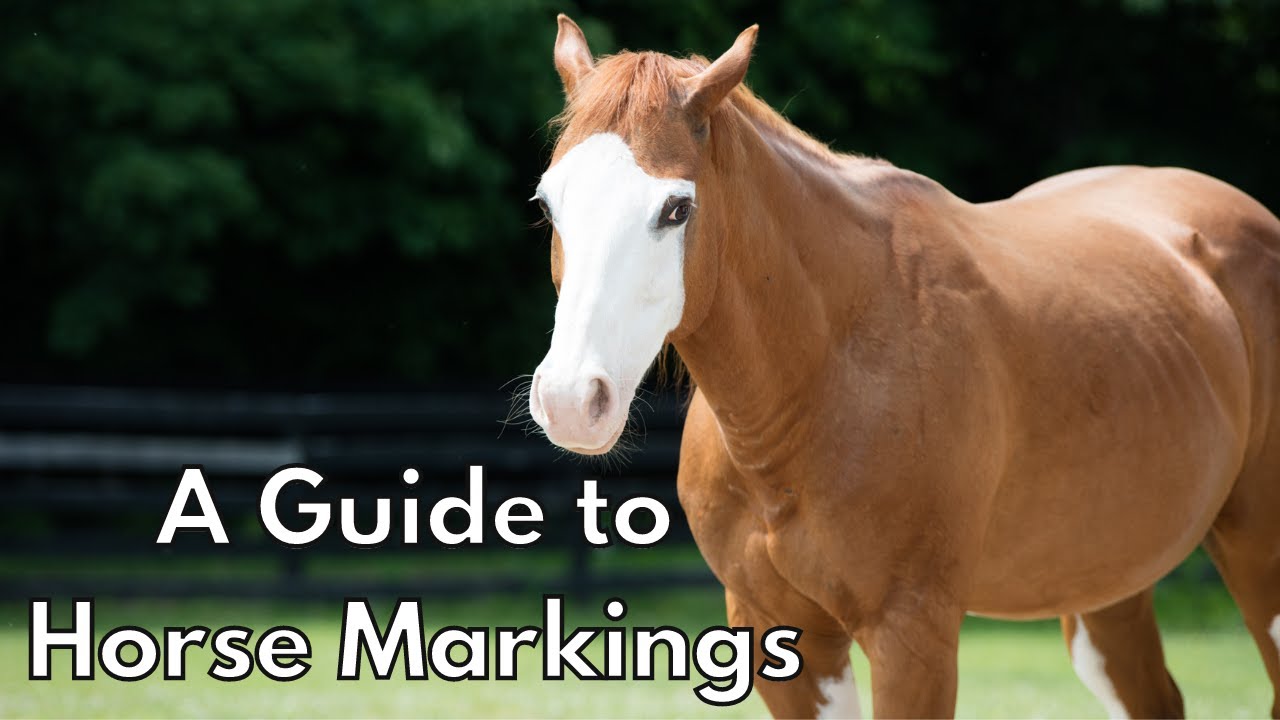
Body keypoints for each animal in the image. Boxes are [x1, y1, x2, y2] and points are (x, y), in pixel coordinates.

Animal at [525, 15, 1280, 718]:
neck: (823, 376)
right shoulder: (780, 634)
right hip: (1104, 590)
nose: (570, 400)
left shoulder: (911, 633)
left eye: (676, 208)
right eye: (548, 202)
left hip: (1256, 563)